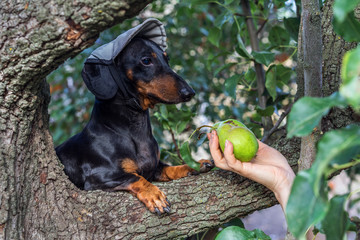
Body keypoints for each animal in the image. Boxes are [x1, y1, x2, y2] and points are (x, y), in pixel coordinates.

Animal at [56, 25, 212, 214]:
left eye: (167, 59)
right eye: (146, 60)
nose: (189, 92)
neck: (133, 130)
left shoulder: (154, 168)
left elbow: (169, 168)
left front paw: (194, 164)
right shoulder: (100, 177)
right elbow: (135, 177)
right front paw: (155, 196)